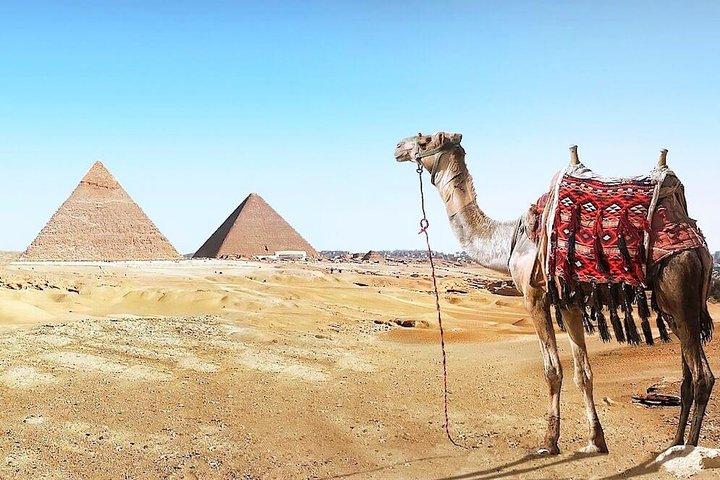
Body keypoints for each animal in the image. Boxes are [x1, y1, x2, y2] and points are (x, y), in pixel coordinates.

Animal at [394, 132, 715, 455]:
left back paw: (689, 448)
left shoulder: (533, 296)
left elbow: (552, 371)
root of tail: (698, 246)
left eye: (424, 140)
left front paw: (549, 442)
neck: (508, 240)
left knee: (702, 377)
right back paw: (673, 445)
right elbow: (583, 373)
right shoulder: (568, 301)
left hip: (679, 286)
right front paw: (596, 440)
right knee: (688, 377)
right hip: (673, 306)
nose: (398, 147)